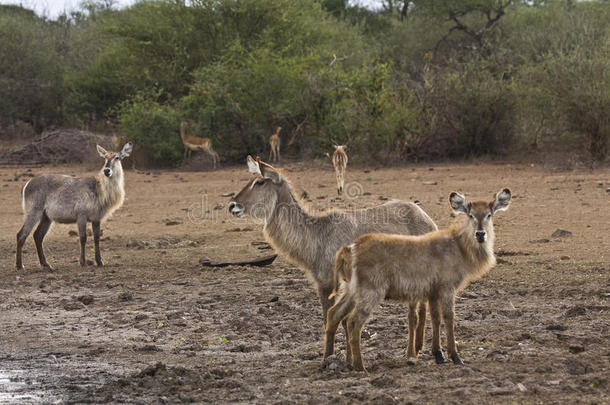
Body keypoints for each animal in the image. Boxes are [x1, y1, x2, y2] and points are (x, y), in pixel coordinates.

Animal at [16, 143, 132, 272]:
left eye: (117, 157)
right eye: (105, 158)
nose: (106, 170)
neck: (99, 190)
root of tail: (27, 184)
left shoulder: (97, 218)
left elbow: (96, 238)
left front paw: (100, 262)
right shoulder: (81, 215)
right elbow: (83, 237)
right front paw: (83, 262)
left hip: (46, 217)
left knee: (38, 236)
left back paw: (46, 264)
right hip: (33, 212)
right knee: (21, 234)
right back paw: (20, 265)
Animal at [226, 156, 434, 362]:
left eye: (259, 182)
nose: (232, 205)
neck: (318, 236)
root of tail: (425, 216)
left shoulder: (338, 284)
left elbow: (339, 319)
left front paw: (342, 358)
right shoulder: (322, 284)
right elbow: (331, 318)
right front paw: (338, 357)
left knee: (414, 313)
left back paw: (411, 353)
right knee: (422, 306)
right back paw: (419, 346)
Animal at [326, 188, 510, 370]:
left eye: (489, 214)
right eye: (470, 215)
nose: (480, 234)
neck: (459, 246)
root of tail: (351, 248)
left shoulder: (433, 291)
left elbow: (435, 318)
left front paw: (438, 354)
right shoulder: (447, 288)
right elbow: (449, 318)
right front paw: (455, 356)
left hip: (350, 291)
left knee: (335, 314)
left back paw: (330, 360)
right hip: (370, 292)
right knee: (353, 321)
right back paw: (360, 367)